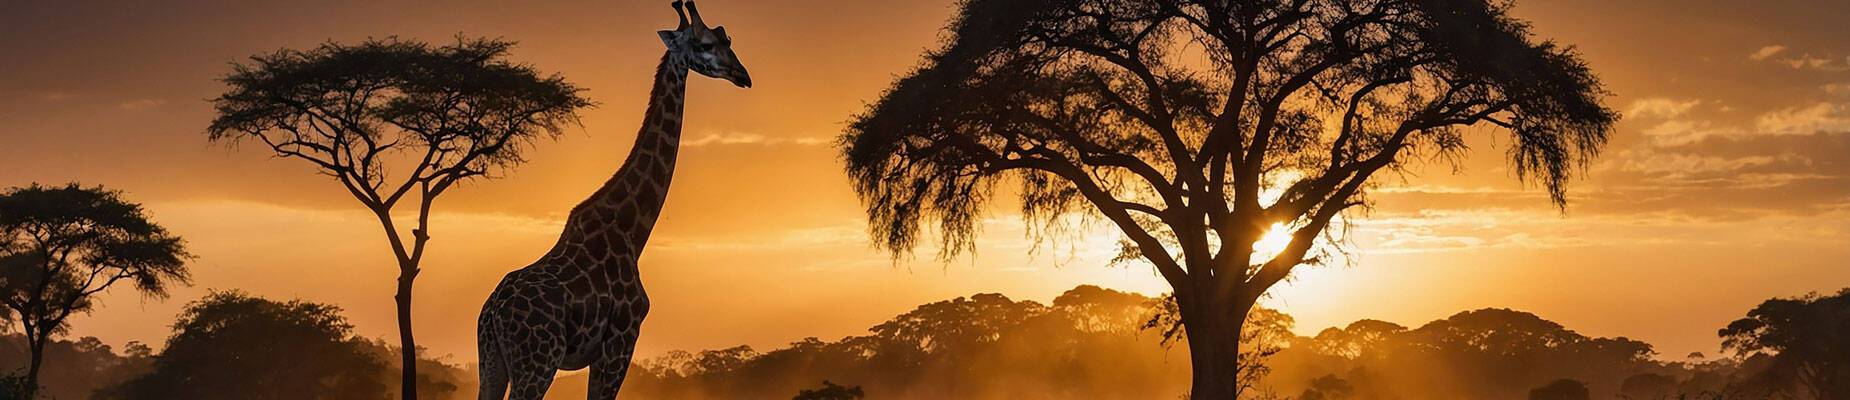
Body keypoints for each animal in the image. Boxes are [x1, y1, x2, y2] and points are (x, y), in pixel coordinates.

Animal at [476, 2, 749, 399]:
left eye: (727, 39)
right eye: (705, 44)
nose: (742, 75)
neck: (630, 233)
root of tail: (493, 311)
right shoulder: (620, 341)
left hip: (491, 362)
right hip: (537, 363)